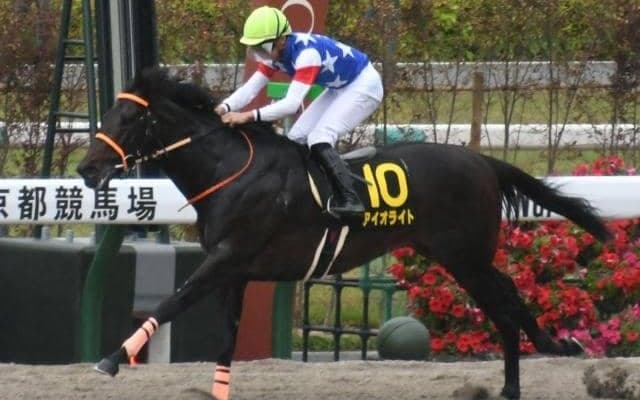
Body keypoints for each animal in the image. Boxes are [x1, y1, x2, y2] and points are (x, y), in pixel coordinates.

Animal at [77, 67, 611, 400]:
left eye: (129, 118)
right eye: (109, 113)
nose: (86, 169)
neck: (229, 169)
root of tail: (483, 161)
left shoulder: (226, 258)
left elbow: (172, 302)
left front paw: (110, 360)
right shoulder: (234, 270)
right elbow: (226, 338)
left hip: (466, 255)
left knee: (506, 302)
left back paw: (543, 358)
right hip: (459, 256)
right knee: (507, 301)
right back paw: (526, 371)